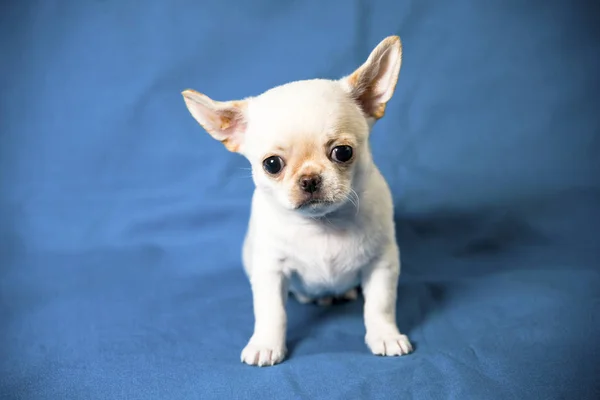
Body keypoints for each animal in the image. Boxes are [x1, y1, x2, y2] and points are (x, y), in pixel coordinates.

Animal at [180, 36, 410, 368]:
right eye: (272, 164)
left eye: (343, 152)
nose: (310, 179)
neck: (323, 225)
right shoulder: (270, 271)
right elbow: (272, 312)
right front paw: (266, 344)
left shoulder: (382, 264)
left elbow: (380, 305)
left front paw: (385, 335)